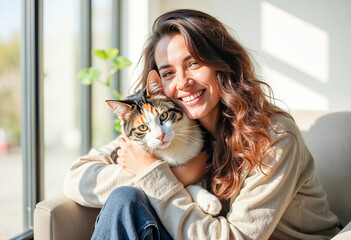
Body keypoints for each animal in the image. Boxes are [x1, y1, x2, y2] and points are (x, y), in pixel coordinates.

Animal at [106, 70, 223, 216]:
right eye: (142, 127)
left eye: (163, 116)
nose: (160, 136)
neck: (170, 151)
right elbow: (183, 184)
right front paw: (208, 200)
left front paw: (208, 199)